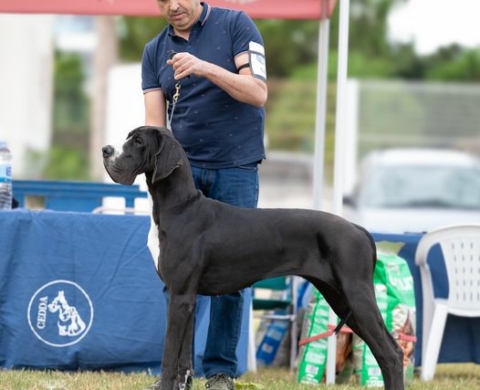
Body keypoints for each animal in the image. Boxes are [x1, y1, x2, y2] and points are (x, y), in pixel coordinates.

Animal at [104, 125, 404, 390]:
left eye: (138, 141)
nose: (106, 150)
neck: (181, 208)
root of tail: (358, 229)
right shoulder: (185, 297)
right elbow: (182, 359)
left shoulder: (180, 296)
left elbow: (168, 358)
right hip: (340, 299)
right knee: (385, 351)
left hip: (356, 295)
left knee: (391, 353)